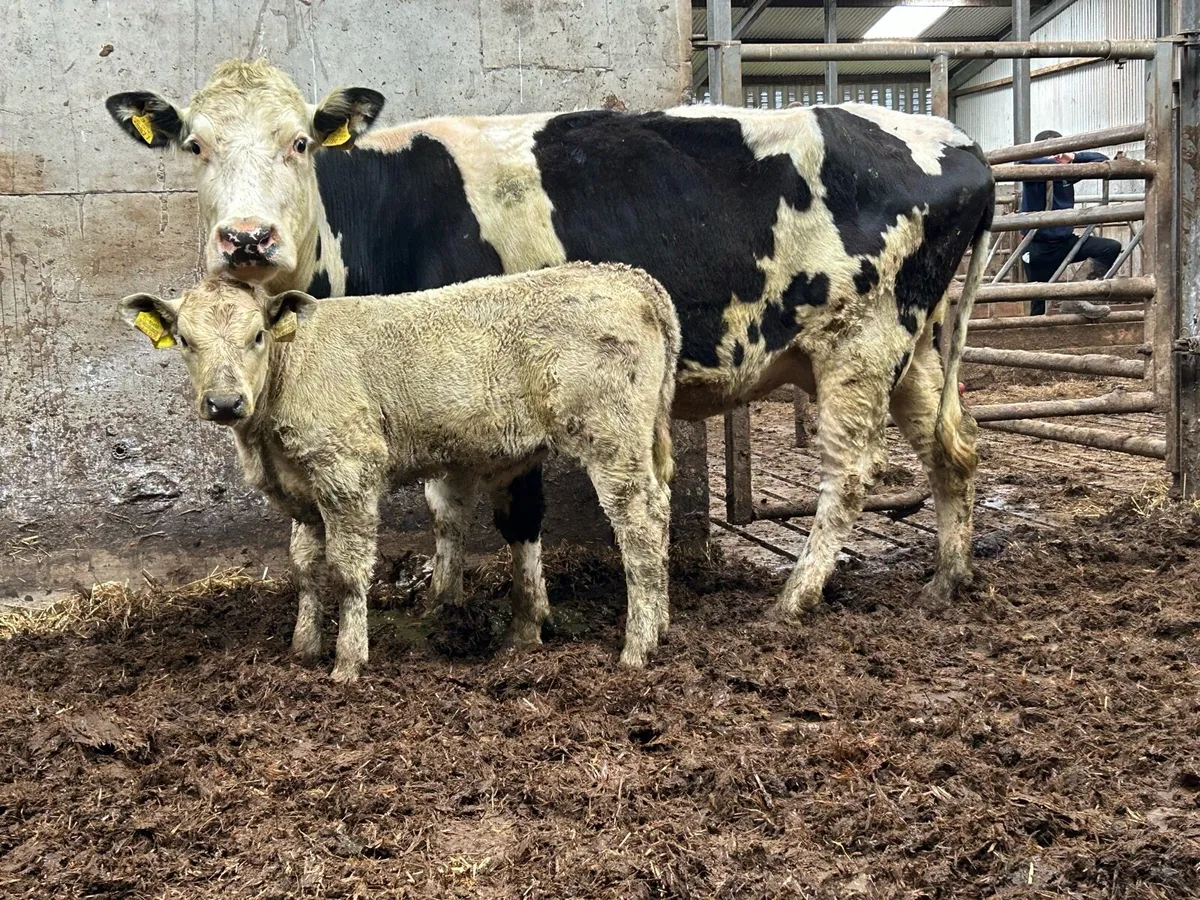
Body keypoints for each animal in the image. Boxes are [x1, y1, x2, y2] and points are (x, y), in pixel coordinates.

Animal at [118, 263, 680, 682]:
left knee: (640, 523)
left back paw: (638, 646)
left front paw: (347, 661)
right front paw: (303, 649)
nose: (224, 402)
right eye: (184, 340)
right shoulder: (302, 489)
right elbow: (304, 567)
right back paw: (660, 625)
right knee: (660, 510)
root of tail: (628, 278)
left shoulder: (346, 470)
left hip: (611, 436)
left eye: (257, 335)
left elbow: (347, 571)